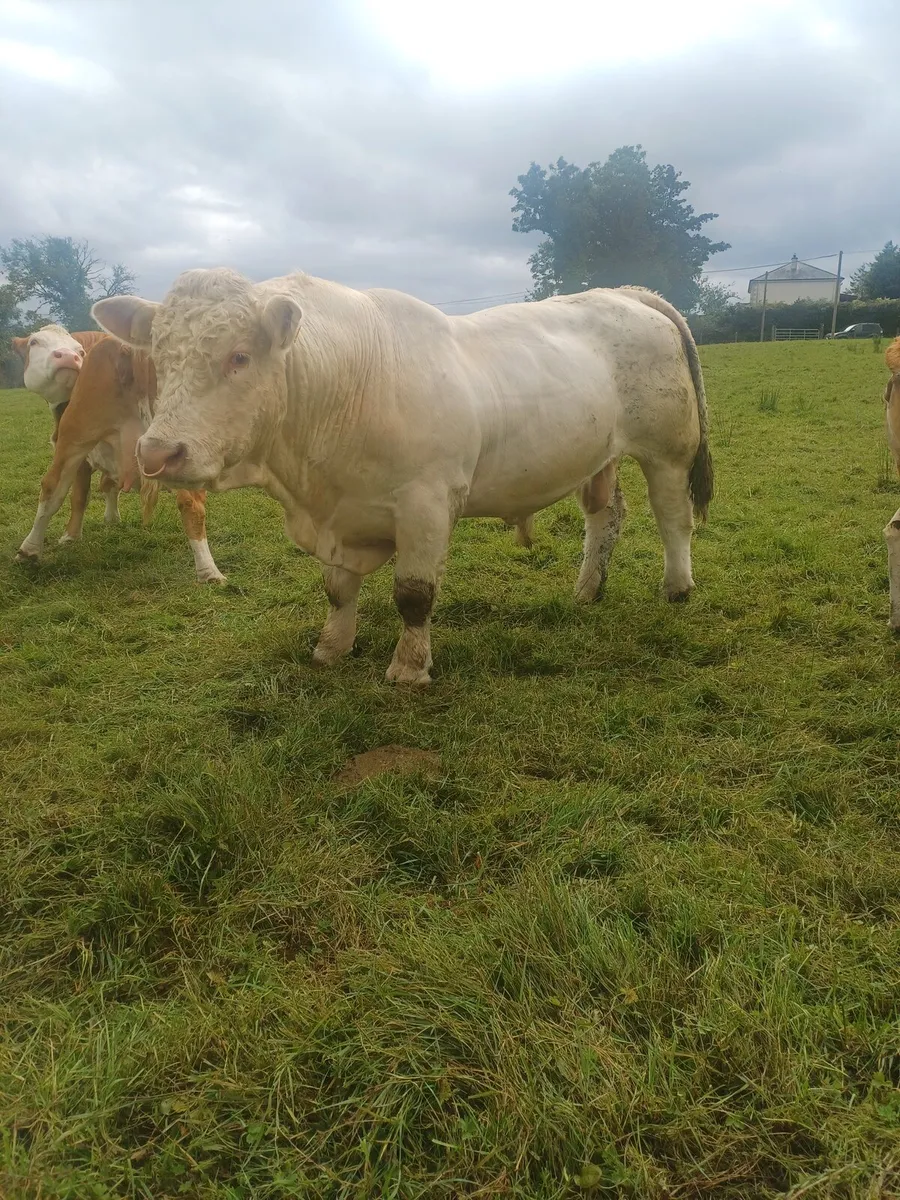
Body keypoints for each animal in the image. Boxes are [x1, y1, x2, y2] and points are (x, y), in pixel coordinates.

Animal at [13, 326, 226, 583]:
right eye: (35, 342)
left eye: (78, 350)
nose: (67, 357)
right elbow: (107, 484)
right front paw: (112, 518)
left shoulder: (82, 455)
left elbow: (80, 495)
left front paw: (71, 536)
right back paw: (210, 572)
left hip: (75, 437)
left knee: (51, 488)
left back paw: (29, 550)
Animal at [93, 269, 713, 685]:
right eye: (161, 358)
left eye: (240, 357)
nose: (158, 452)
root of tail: (625, 292)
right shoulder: (342, 515)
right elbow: (337, 588)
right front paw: (332, 647)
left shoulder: (427, 504)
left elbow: (414, 595)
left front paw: (409, 667)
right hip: (600, 454)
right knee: (605, 516)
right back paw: (587, 590)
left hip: (668, 448)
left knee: (672, 516)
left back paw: (678, 586)